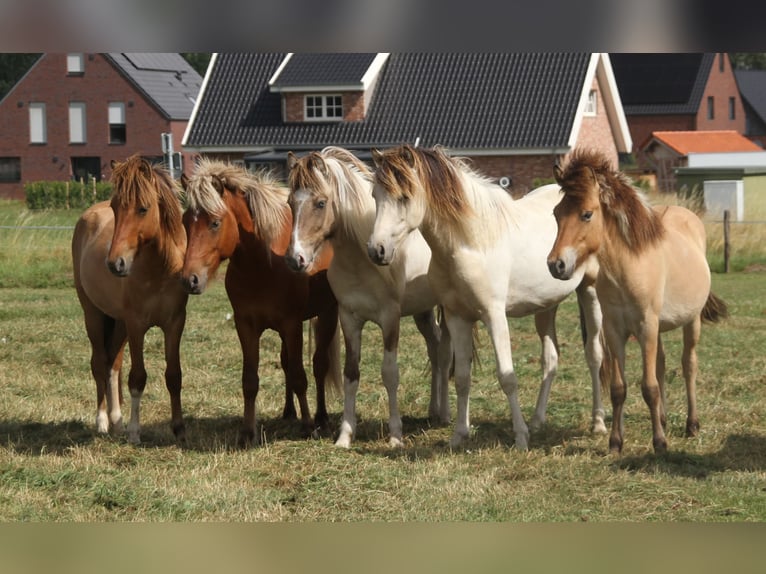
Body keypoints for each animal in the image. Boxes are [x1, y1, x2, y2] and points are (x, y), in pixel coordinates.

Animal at [71, 155, 189, 444]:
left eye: (143, 209)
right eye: (116, 207)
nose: (115, 264)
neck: (160, 268)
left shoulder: (175, 324)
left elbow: (174, 375)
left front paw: (179, 430)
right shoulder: (137, 325)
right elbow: (137, 377)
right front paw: (136, 432)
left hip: (119, 323)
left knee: (113, 365)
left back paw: (117, 421)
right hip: (94, 315)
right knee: (99, 364)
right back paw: (103, 421)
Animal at [180, 158, 341, 445]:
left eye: (214, 223)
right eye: (185, 222)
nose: (191, 280)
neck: (262, 263)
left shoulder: (292, 324)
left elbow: (300, 376)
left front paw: (308, 425)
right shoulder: (246, 325)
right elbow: (250, 380)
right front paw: (247, 431)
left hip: (328, 314)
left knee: (319, 365)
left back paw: (321, 417)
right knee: (286, 362)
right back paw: (289, 412)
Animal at [284, 146, 451, 448]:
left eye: (321, 203)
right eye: (290, 202)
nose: (295, 259)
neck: (361, 261)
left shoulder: (390, 318)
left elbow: (390, 374)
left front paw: (395, 436)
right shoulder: (349, 318)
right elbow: (351, 374)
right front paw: (345, 436)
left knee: (444, 352)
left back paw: (444, 414)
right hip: (422, 311)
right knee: (434, 348)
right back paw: (433, 410)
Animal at [368, 144, 606, 451]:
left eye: (404, 197)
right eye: (375, 195)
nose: (377, 250)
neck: (471, 243)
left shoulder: (494, 316)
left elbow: (507, 377)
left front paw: (520, 438)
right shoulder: (457, 317)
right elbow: (462, 378)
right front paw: (459, 435)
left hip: (590, 293)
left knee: (595, 355)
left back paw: (598, 423)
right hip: (546, 307)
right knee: (551, 359)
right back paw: (538, 420)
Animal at [547, 149, 728, 454]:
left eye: (586, 214)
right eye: (556, 213)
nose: (555, 265)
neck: (628, 268)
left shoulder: (646, 327)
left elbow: (649, 387)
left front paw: (660, 443)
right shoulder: (614, 330)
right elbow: (619, 388)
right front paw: (615, 443)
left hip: (689, 322)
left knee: (688, 365)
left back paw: (691, 425)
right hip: (659, 328)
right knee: (662, 364)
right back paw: (664, 419)